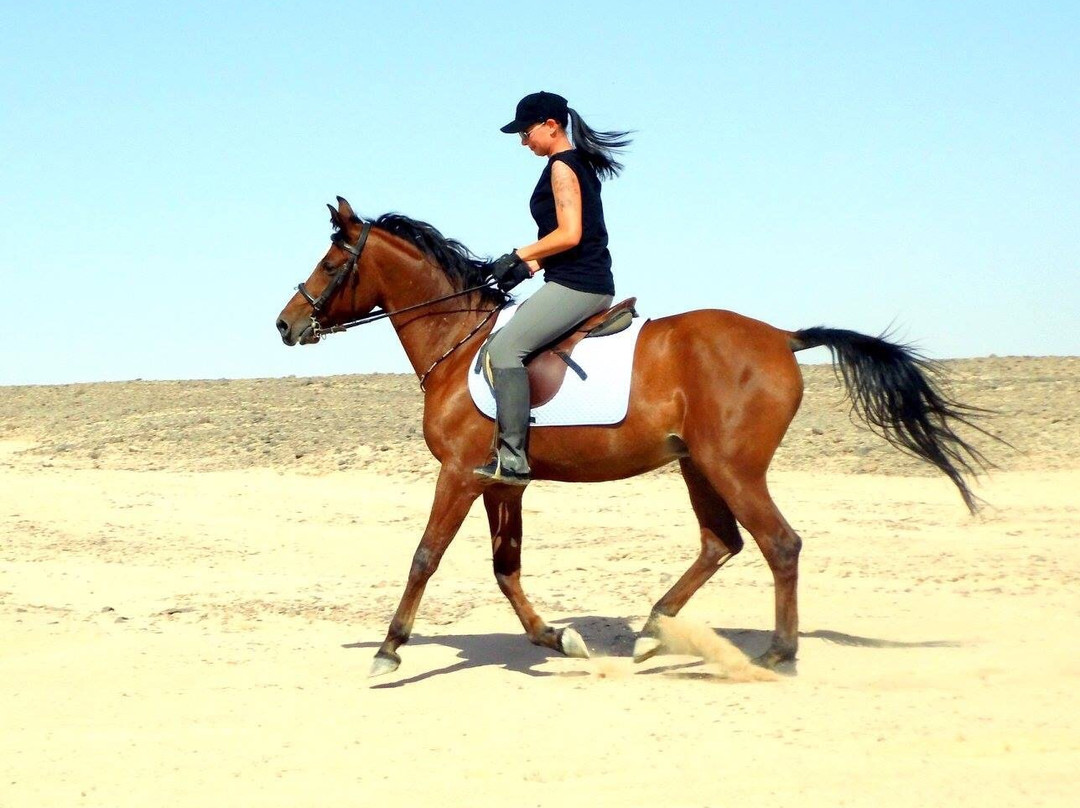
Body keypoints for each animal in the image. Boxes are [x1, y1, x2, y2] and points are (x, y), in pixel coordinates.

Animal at [276, 197, 994, 677]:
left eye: (332, 262)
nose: (285, 324)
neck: (459, 341)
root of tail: (781, 337)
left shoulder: (457, 473)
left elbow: (425, 556)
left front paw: (389, 648)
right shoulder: (502, 482)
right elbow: (506, 568)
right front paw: (556, 637)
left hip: (731, 467)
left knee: (779, 544)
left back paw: (777, 653)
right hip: (697, 465)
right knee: (721, 543)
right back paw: (652, 630)